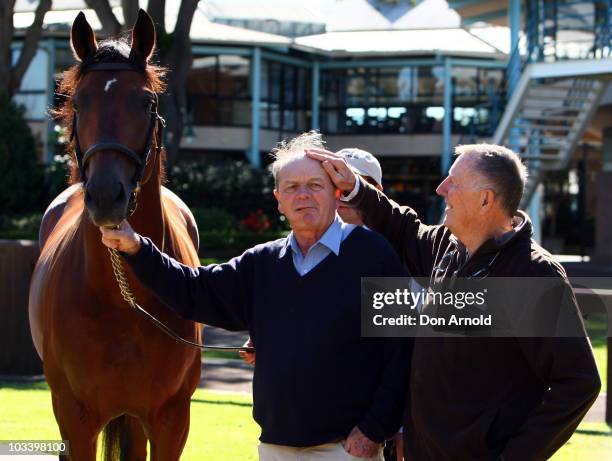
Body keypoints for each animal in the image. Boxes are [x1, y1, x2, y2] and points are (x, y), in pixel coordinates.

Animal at [29, 9, 201, 458]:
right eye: (78, 101)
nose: (106, 196)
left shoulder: (172, 420)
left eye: (146, 101)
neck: (122, 302)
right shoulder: (74, 419)